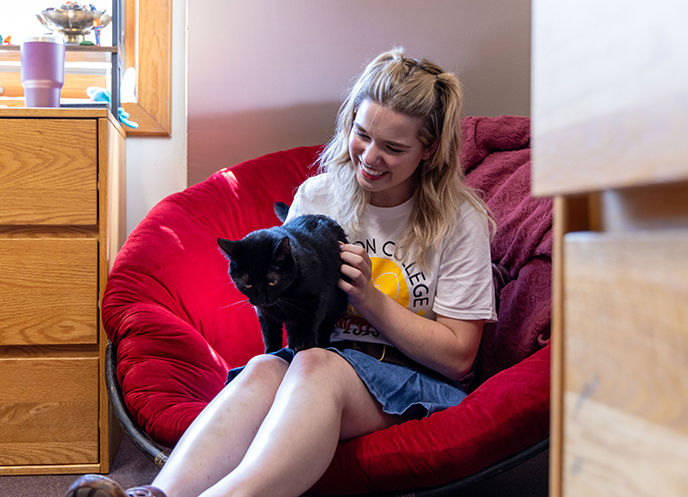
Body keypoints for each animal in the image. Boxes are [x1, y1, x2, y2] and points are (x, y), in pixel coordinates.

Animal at [219, 202, 350, 352]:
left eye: (272, 282)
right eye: (248, 285)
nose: (261, 299)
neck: (284, 296)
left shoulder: (318, 297)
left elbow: (309, 319)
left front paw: (304, 342)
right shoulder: (265, 314)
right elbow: (270, 334)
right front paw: (272, 351)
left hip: (336, 302)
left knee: (325, 324)